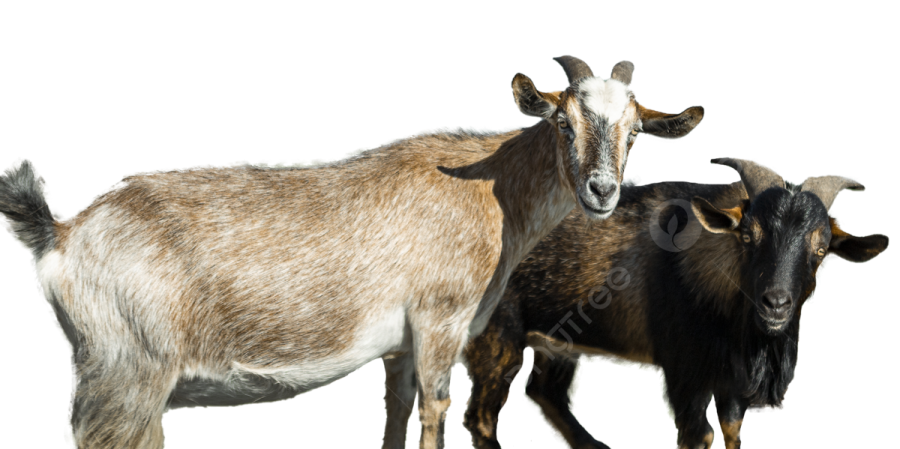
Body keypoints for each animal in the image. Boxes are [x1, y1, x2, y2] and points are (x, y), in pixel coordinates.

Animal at [0, 54, 704, 449]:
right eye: (564, 122)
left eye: (635, 131)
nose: (602, 190)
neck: (488, 191)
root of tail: (64, 231)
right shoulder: (440, 322)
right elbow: (435, 410)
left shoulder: (398, 343)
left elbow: (395, 413)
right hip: (128, 379)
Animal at [460, 157, 889, 449]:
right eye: (747, 236)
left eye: (820, 249)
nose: (776, 304)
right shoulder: (685, 371)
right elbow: (698, 435)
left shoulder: (728, 379)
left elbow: (731, 429)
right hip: (497, 333)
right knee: (480, 415)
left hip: (556, 339)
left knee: (544, 392)